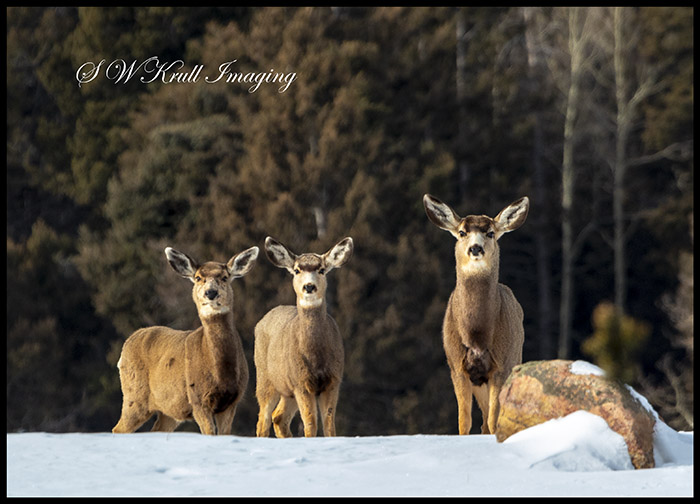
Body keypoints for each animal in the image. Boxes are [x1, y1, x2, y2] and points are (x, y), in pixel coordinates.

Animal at [112, 245, 259, 435]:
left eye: (225, 277)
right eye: (198, 278)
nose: (211, 293)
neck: (220, 374)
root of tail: (128, 342)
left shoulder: (232, 402)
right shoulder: (197, 400)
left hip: (169, 409)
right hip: (134, 396)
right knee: (118, 429)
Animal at [254, 236, 353, 438]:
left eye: (321, 269)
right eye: (297, 270)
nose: (309, 286)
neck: (316, 358)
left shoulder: (333, 380)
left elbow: (329, 425)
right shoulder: (301, 382)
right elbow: (311, 423)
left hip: (287, 389)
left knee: (278, 417)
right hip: (265, 378)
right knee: (263, 419)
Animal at [423, 194, 529, 435]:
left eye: (490, 233)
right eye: (462, 232)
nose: (475, 248)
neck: (477, 335)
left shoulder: (502, 364)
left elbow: (494, 419)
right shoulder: (456, 365)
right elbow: (464, 421)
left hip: (514, 358)